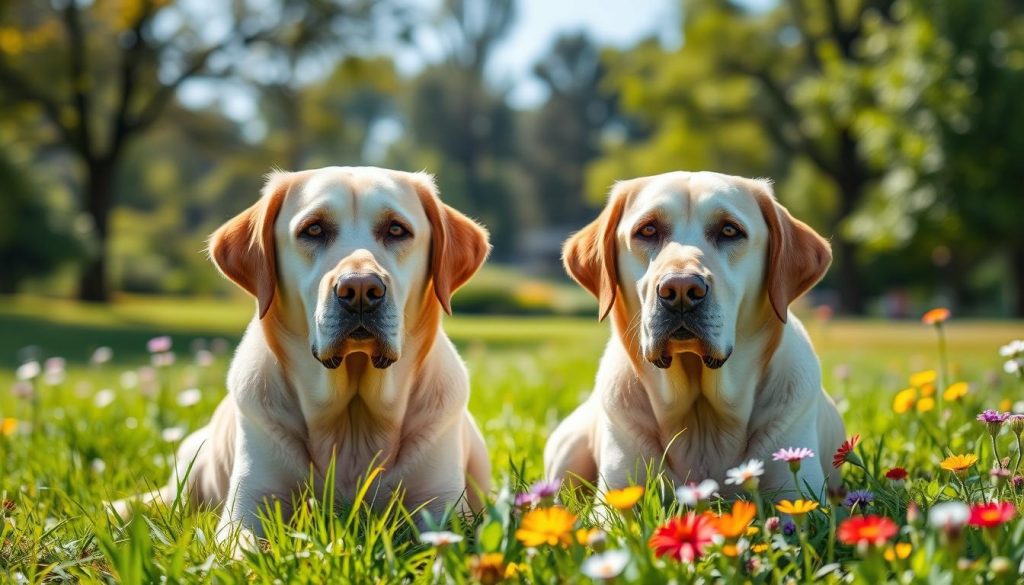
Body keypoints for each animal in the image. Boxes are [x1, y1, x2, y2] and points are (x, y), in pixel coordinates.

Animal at [112, 166, 491, 540]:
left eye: (397, 229)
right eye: (314, 229)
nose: (360, 290)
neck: (351, 422)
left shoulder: (442, 509)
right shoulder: (248, 509)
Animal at [544, 172, 847, 495]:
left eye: (729, 230)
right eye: (647, 229)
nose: (679, 290)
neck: (702, 415)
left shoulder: (796, 489)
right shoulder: (616, 495)